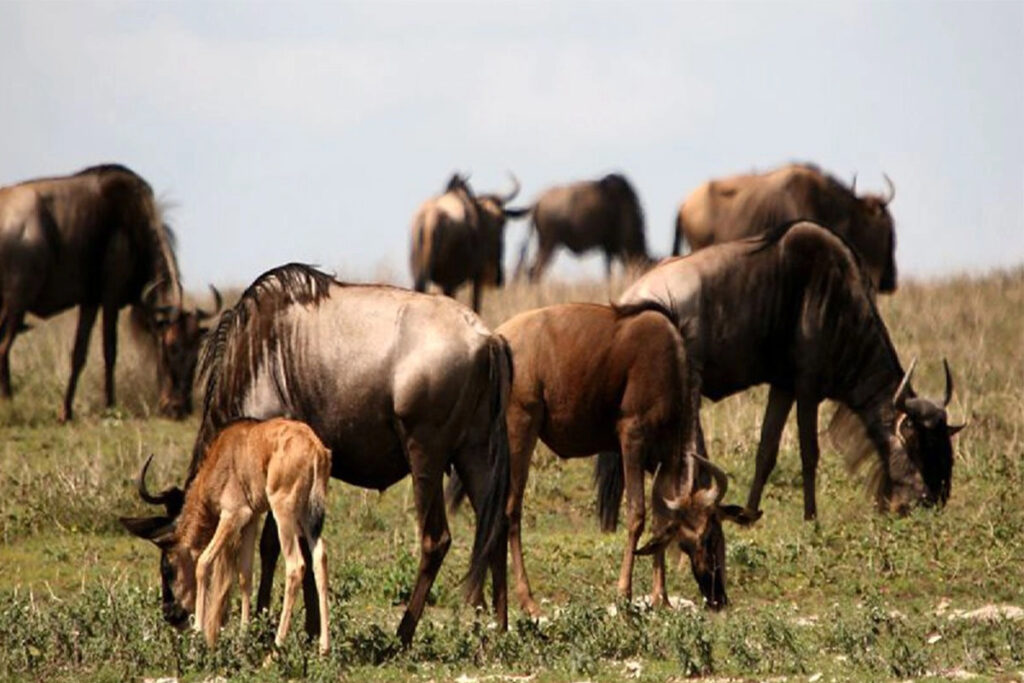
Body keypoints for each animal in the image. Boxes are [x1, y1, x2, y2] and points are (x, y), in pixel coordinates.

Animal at [119, 419, 329, 655]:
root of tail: (315, 449)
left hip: (283, 514)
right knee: (320, 558)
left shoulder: (233, 515)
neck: (225, 450)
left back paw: (276, 647)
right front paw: (244, 634)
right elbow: (245, 573)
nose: (170, 614)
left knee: (296, 566)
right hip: (309, 517)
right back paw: (324, 648)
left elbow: (203, 563)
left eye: (167, 567)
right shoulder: (251, 519)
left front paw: (199, 633)